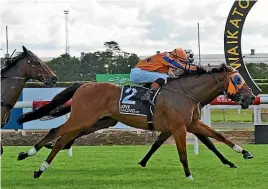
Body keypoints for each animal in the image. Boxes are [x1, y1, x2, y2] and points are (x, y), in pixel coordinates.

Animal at [17, 63, 255, 180]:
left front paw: (243, 153)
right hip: (82, 118)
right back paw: (29, 156)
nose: (251, 97)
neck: (185, 93)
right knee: (55, 132)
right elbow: (183, 154)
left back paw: (39, 167)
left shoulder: (191, 124)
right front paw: (189, 176)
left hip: (93, 122)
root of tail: (84, 85)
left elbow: (218, 137)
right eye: (238, 79)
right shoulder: (178, 127)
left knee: (60, 139)